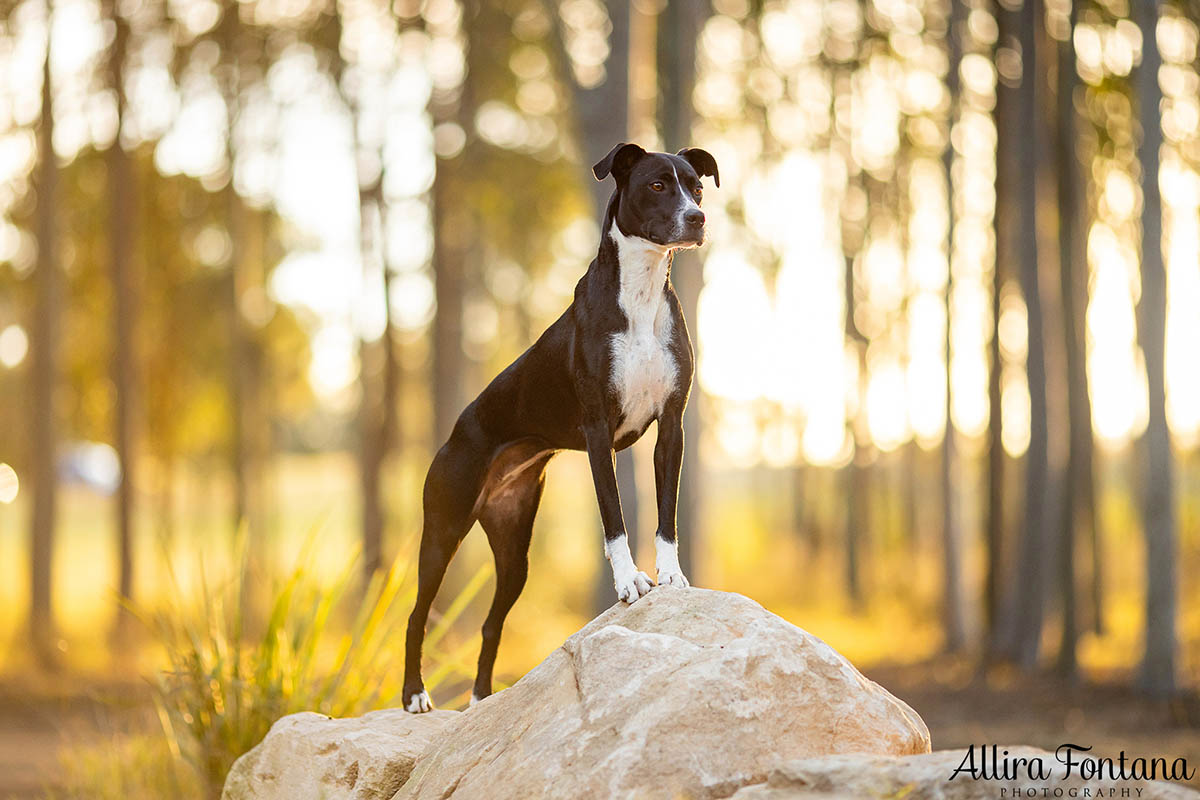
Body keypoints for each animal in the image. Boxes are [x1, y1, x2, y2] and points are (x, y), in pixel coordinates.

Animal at [403, 140, 720, 710]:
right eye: (657, 185)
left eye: (696, 187)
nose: (697, 218)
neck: (640, 296)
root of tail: (457, 431)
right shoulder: (598, 434)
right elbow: (614, 519)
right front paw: (630, 583)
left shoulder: (671, 428)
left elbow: (665, 514)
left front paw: (672, 575)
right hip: (442, 531)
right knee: (417, 614)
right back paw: (415, 694)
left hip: (514, 552)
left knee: (490, 624)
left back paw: (481, 701)